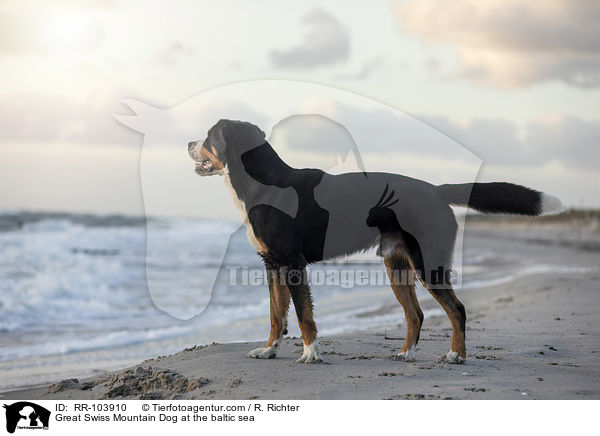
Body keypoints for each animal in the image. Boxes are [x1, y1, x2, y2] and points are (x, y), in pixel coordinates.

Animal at [186, 119, 564, 364]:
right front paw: (268, 350)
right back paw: (405, 353)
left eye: (209, 135)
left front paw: (310, 353)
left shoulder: (293, 263)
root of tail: (436, 190)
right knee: (416, 315)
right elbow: (276, 315)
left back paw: (456, 355)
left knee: (457, 309)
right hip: (397, 266)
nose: (188, 143)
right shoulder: (272, 264)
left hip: (428, 263)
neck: (264, 184)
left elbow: (304, 316)